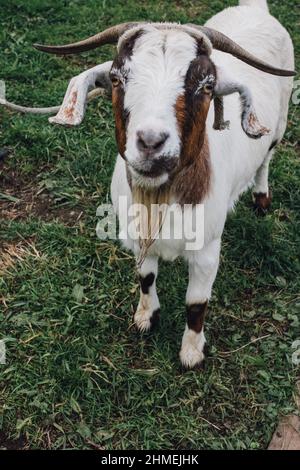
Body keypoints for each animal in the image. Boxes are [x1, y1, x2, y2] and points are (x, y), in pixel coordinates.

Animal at [1, 0, 294, 370]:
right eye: (115, 78)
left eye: (207, 86)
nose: (151, 142)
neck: (161, 197)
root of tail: (255, 9)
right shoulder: (135, 234)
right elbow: (146, 277)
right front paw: (146, 317)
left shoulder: (207, 249)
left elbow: (196, 304)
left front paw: (191, 353)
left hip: (279, 124)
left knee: (267, 158)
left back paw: (261, 197)